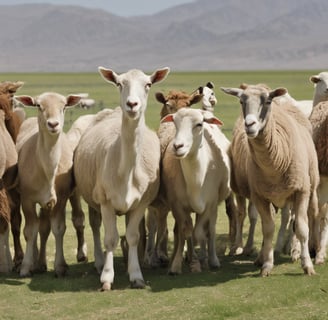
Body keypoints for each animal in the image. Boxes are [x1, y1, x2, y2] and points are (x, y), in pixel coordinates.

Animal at [14, 91, 82, 276]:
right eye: (38, 105)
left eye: (64, 106)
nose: (53, 124)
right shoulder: (27, 199)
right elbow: (30, 231)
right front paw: (25, 267)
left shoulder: (61, 198)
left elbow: (58, 228)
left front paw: (60, 266)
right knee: (37, 228)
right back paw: (35, 262)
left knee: (47, 227)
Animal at [73, 67, 170, 290]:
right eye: (119, 84)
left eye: (148, 84)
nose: (132, 104)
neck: (126, 170)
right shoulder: (106, 201)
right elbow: (110, 239)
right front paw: (107, 278)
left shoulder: (141, 203)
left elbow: (134, 237)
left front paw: (136, 276)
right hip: (93, 198)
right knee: (95, 226)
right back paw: (100, 263)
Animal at [160, 109, 231, 274]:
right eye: (175, 122)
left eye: (199, 124)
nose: (177, 146)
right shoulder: (177, 205)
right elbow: (185, 231)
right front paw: (177, 264)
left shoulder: (210, 204)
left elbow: (200, 232)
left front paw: (201, 260)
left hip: (213, 207)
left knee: (210, 230)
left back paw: (211, 259)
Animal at [222, 84, 320, 276]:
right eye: (241, 101)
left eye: (267, 101)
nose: (249, 125)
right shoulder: (260, 196)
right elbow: (268, 229)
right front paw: (266, 264)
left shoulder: (301, 191)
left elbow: (302, 228)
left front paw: (307, 265)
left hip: (309, 188)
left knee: (304, 217)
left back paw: (303, 250)